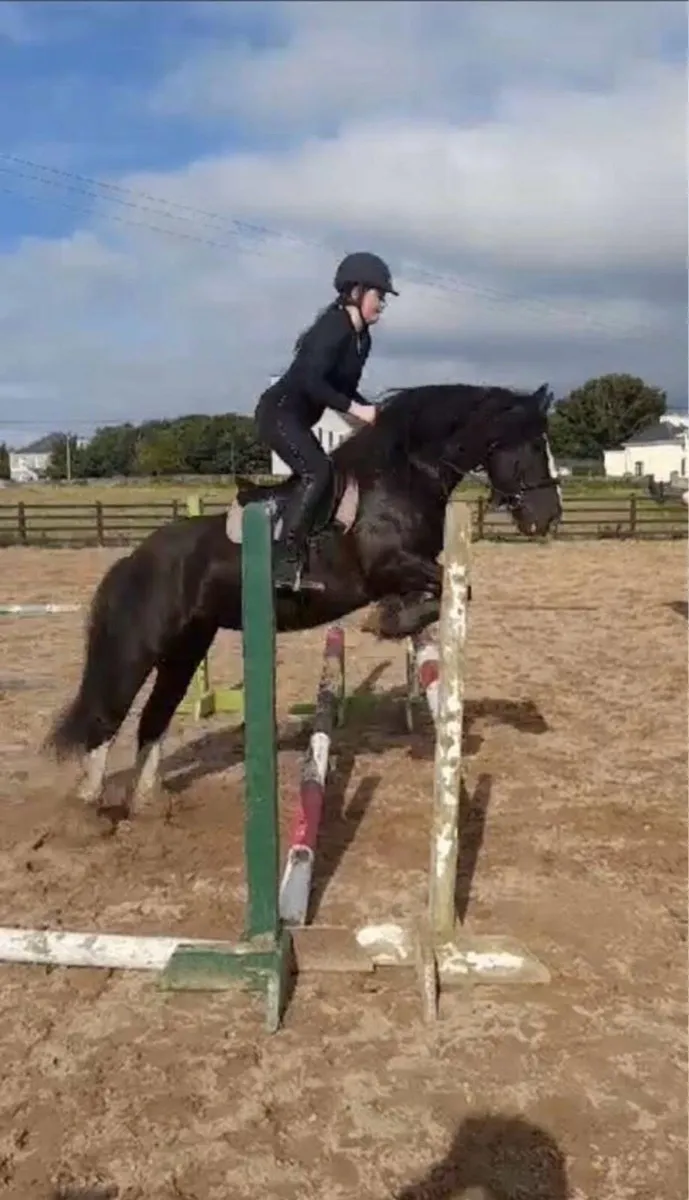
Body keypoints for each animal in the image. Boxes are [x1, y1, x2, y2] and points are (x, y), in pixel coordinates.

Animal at [47, 380, 562, 812]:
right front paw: (388, 621)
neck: (406, 473)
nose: (548, 518)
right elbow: (456, 589)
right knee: (110, 712)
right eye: (532, 447)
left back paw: (146, 802)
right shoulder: (388, 566)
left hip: (187, 649)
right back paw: (90, 799)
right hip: (143, 646)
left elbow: (447, 594)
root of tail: (134, 558)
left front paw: (397, 617)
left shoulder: (410, 570)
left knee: (153, 718)